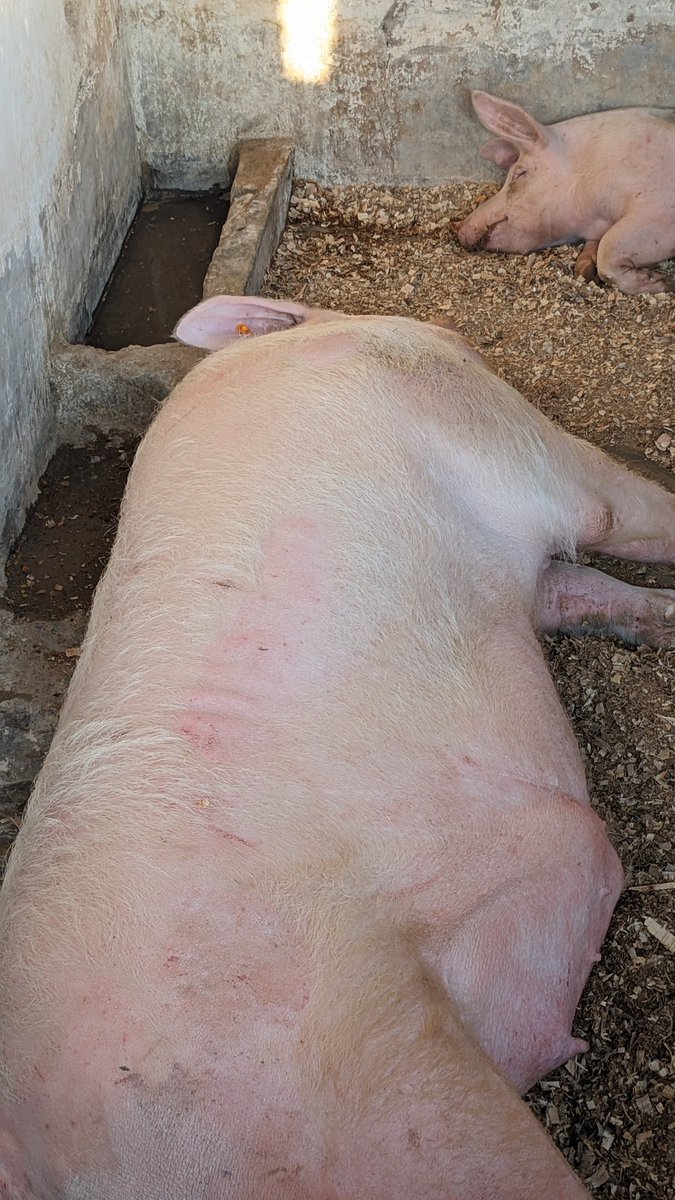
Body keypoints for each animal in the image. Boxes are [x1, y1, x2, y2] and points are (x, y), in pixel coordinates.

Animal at [0, 294, 674, 1200]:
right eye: (460, 346)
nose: (457, 338)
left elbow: (579, 588)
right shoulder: (474, 417)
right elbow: (620, 516)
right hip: (366, 1079)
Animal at [455, 90, 675, 294]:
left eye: (519, 174)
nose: (459, 228)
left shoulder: (659, 211)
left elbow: (609, 245)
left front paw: (663, 283)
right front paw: (586, 270)